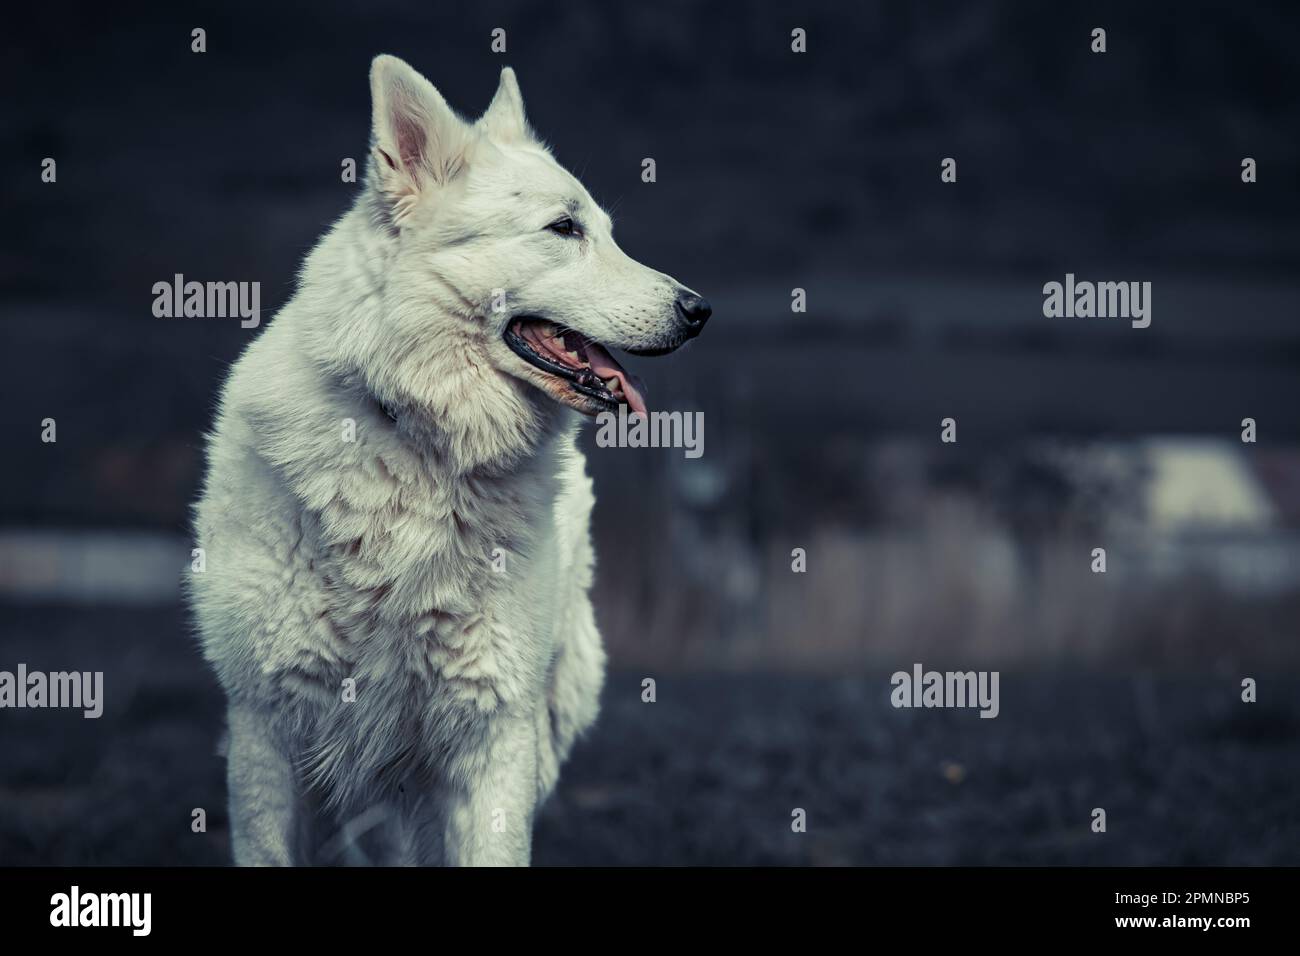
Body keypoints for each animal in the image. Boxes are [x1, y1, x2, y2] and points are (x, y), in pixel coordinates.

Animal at [188, 55, 712, 868]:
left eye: (605, 232)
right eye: (564, 228)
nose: (698, 310)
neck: (414, 438)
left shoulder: (494, 729)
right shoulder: (265, 733)